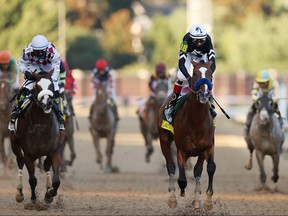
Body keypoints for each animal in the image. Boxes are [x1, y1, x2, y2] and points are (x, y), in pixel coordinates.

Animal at [9, 69, 63, 204]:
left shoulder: (54, 151)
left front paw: (49, 193)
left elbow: (56, 181)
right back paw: (19, 193)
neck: (41, 125)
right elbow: (32, 179)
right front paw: (33, 199)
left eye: (51, 85)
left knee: (46, 166)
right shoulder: (28, 154)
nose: (47, 103)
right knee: (20, 161)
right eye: (37, 86)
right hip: (14, 144)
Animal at [158, 60, 216, 211]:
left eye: (210, 74)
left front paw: (207, 201)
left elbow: (209, 168)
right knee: (171, 166)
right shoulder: (181, 149)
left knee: (197, 170)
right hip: (164, 140)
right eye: (195, 73)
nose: (204, 94)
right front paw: (180, 193)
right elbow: (182, 178)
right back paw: (172, 198)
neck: (196, 121)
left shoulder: (208, 146)